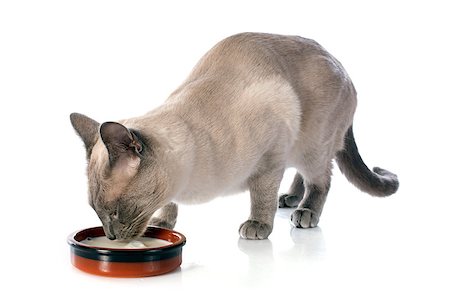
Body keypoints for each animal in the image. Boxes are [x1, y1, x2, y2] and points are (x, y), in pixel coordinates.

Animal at [69, 32, 398, 241]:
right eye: (97, 213)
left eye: (115, 211)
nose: (111, 237)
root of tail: (341, 64)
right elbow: (169, 203)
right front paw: (162, 222)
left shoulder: (270, 160)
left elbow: (261, 197)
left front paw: (258, 226)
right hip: (300, 147)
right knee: (303, 175)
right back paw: (290, 198)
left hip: (312, 144)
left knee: (322, 179)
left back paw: (305, 212)